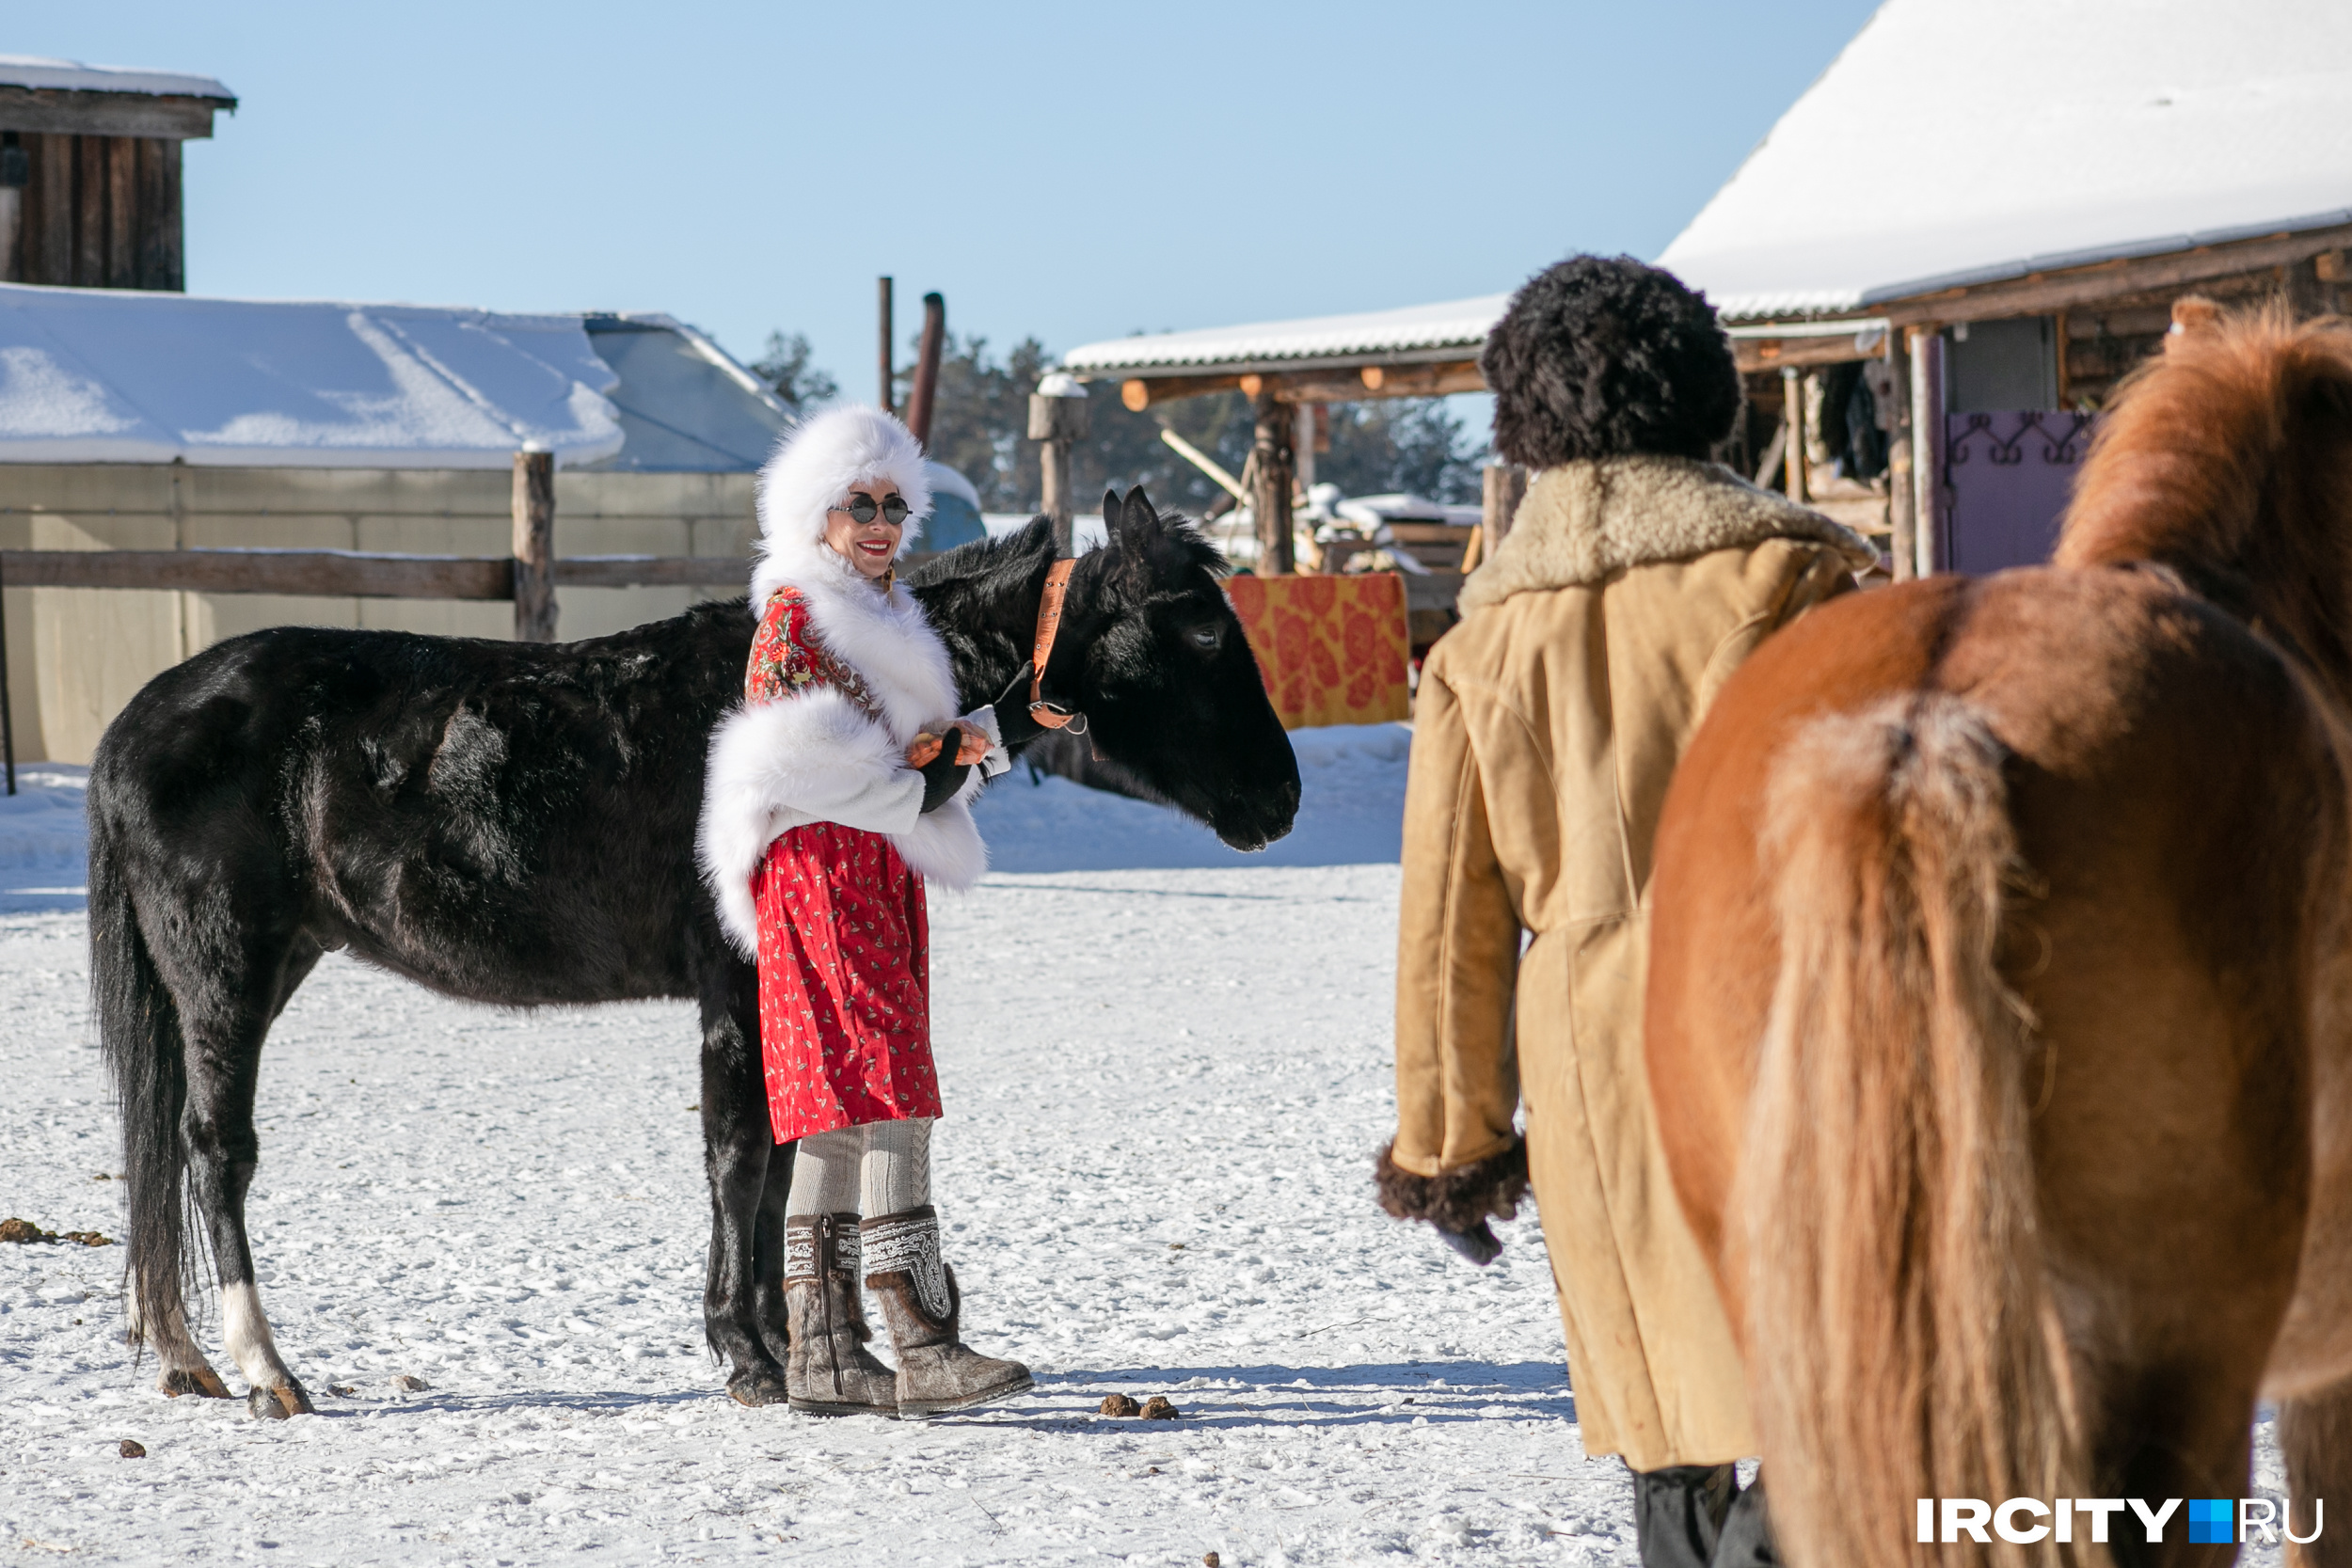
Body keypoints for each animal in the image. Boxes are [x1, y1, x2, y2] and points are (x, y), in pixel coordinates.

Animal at [91, 493, 1298, 1419]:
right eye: (1199, 634)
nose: (1280, 797)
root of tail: (139, 722)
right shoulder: (735, 986)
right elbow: (739, 1157)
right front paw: (750, 1354)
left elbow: (778, 1164)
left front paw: (803, 1350)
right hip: (227, 973)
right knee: (215, 1151)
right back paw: (264, 1367)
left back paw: (189, 1357)